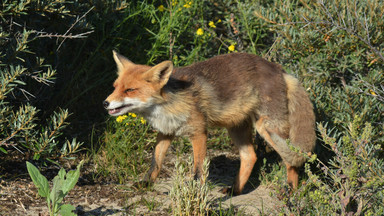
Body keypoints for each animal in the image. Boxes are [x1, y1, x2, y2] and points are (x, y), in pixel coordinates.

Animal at [103, 51, 316, 196]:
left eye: (130, 90)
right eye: (115, 87)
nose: (105, 103)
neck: (168, 104)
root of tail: (279, 69)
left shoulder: (199, 132)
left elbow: (198, 170)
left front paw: (195, 192)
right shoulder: (165, 132)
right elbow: (155, 162)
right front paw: (147, 183)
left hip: (268, 128)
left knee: (290, 159)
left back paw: (291, 191)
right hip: (237, 128)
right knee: (251, 156)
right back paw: (235, 190)